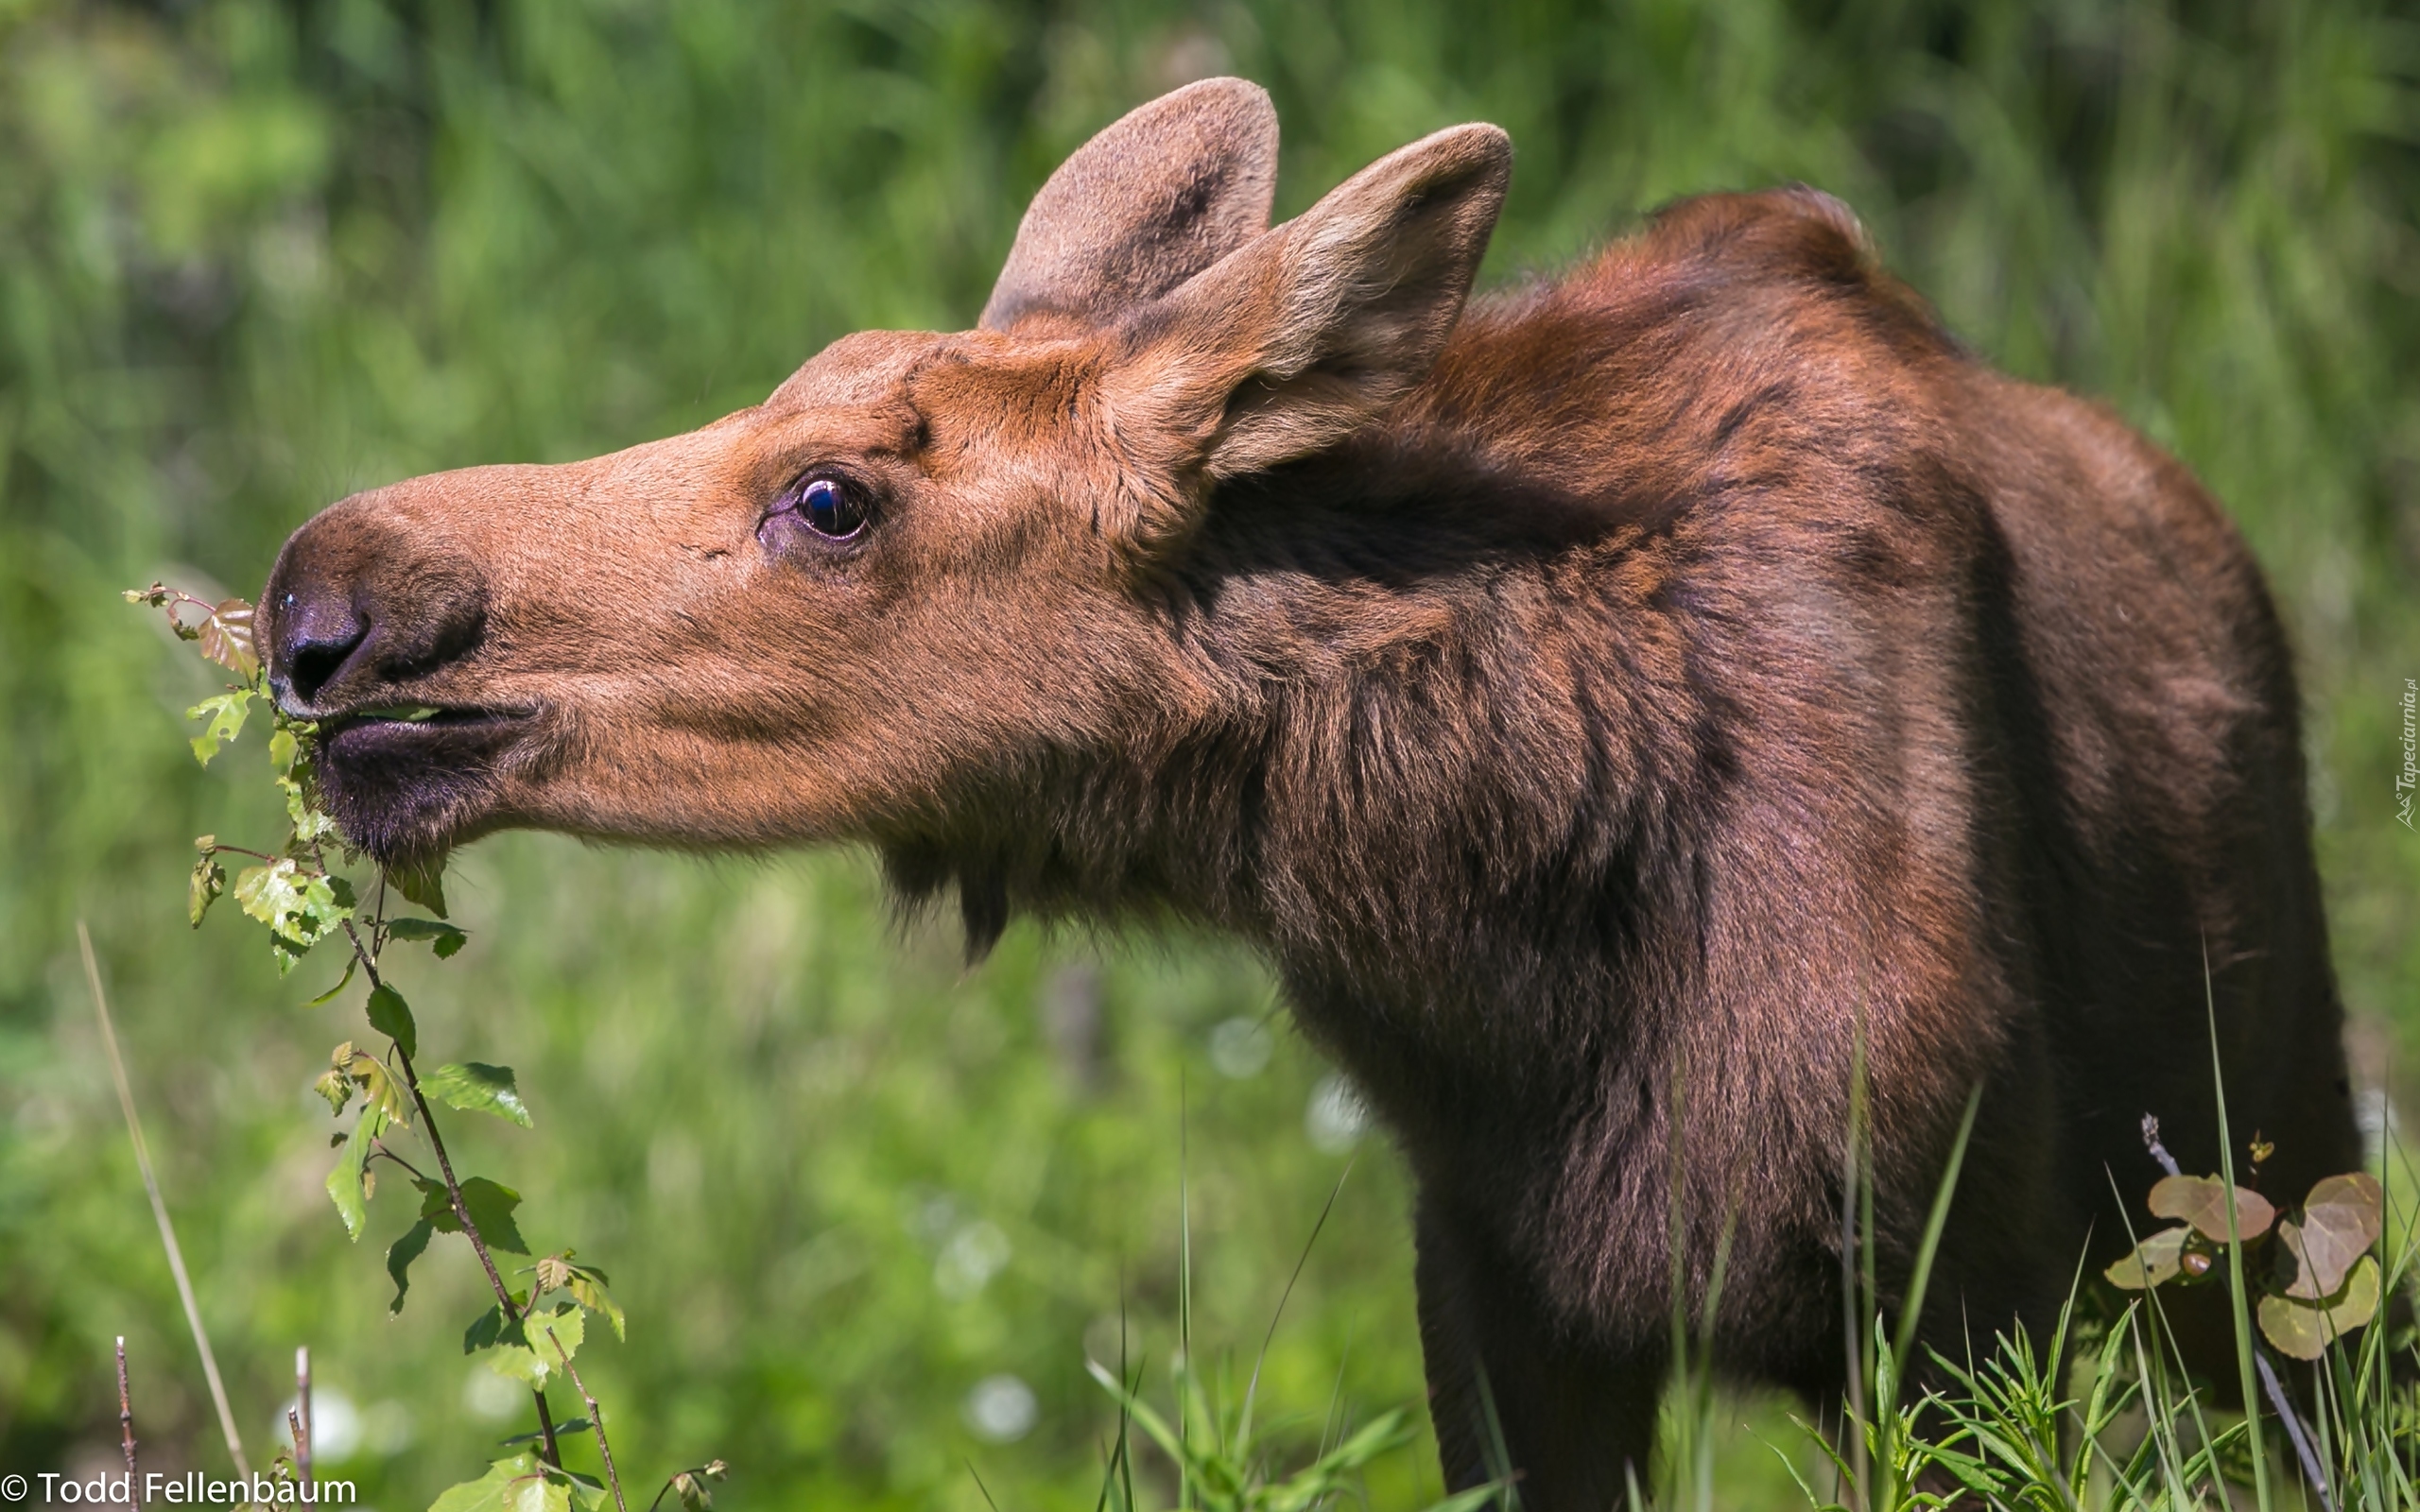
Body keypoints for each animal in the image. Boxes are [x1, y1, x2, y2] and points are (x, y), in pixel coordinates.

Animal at [269, 82, 2361, 1509]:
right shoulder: (1499, 1284)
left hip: (2272, 1169)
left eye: (833, 495)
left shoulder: (1942, 1291)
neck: (1527, 932)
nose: (322, 600)